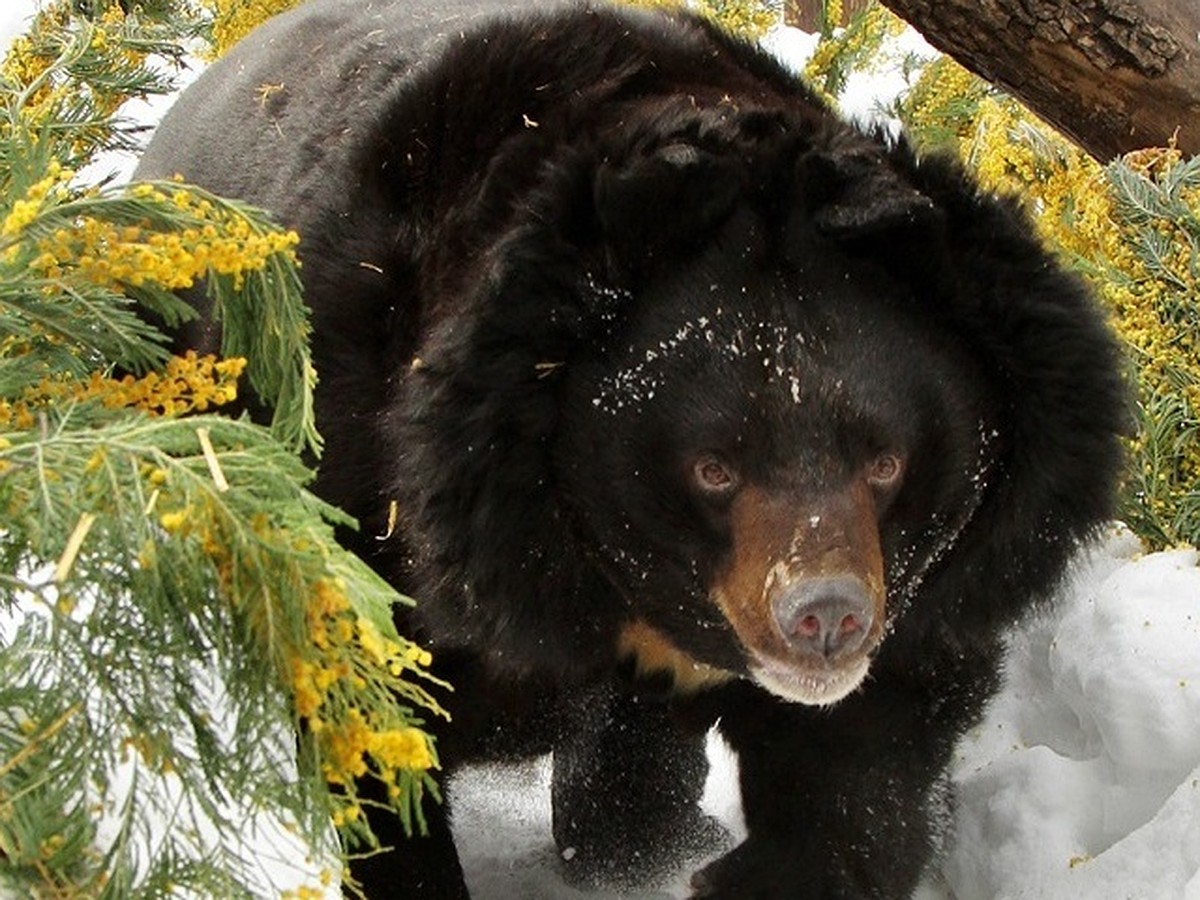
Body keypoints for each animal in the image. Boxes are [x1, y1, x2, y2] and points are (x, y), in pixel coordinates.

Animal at [136, 3, 1128, 897]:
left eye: (884, 462)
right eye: (714, 469)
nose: (826, 618)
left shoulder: (934, 579)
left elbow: (865, 752)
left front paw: (736, 875)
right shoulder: (362, 479)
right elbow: (370, 720)